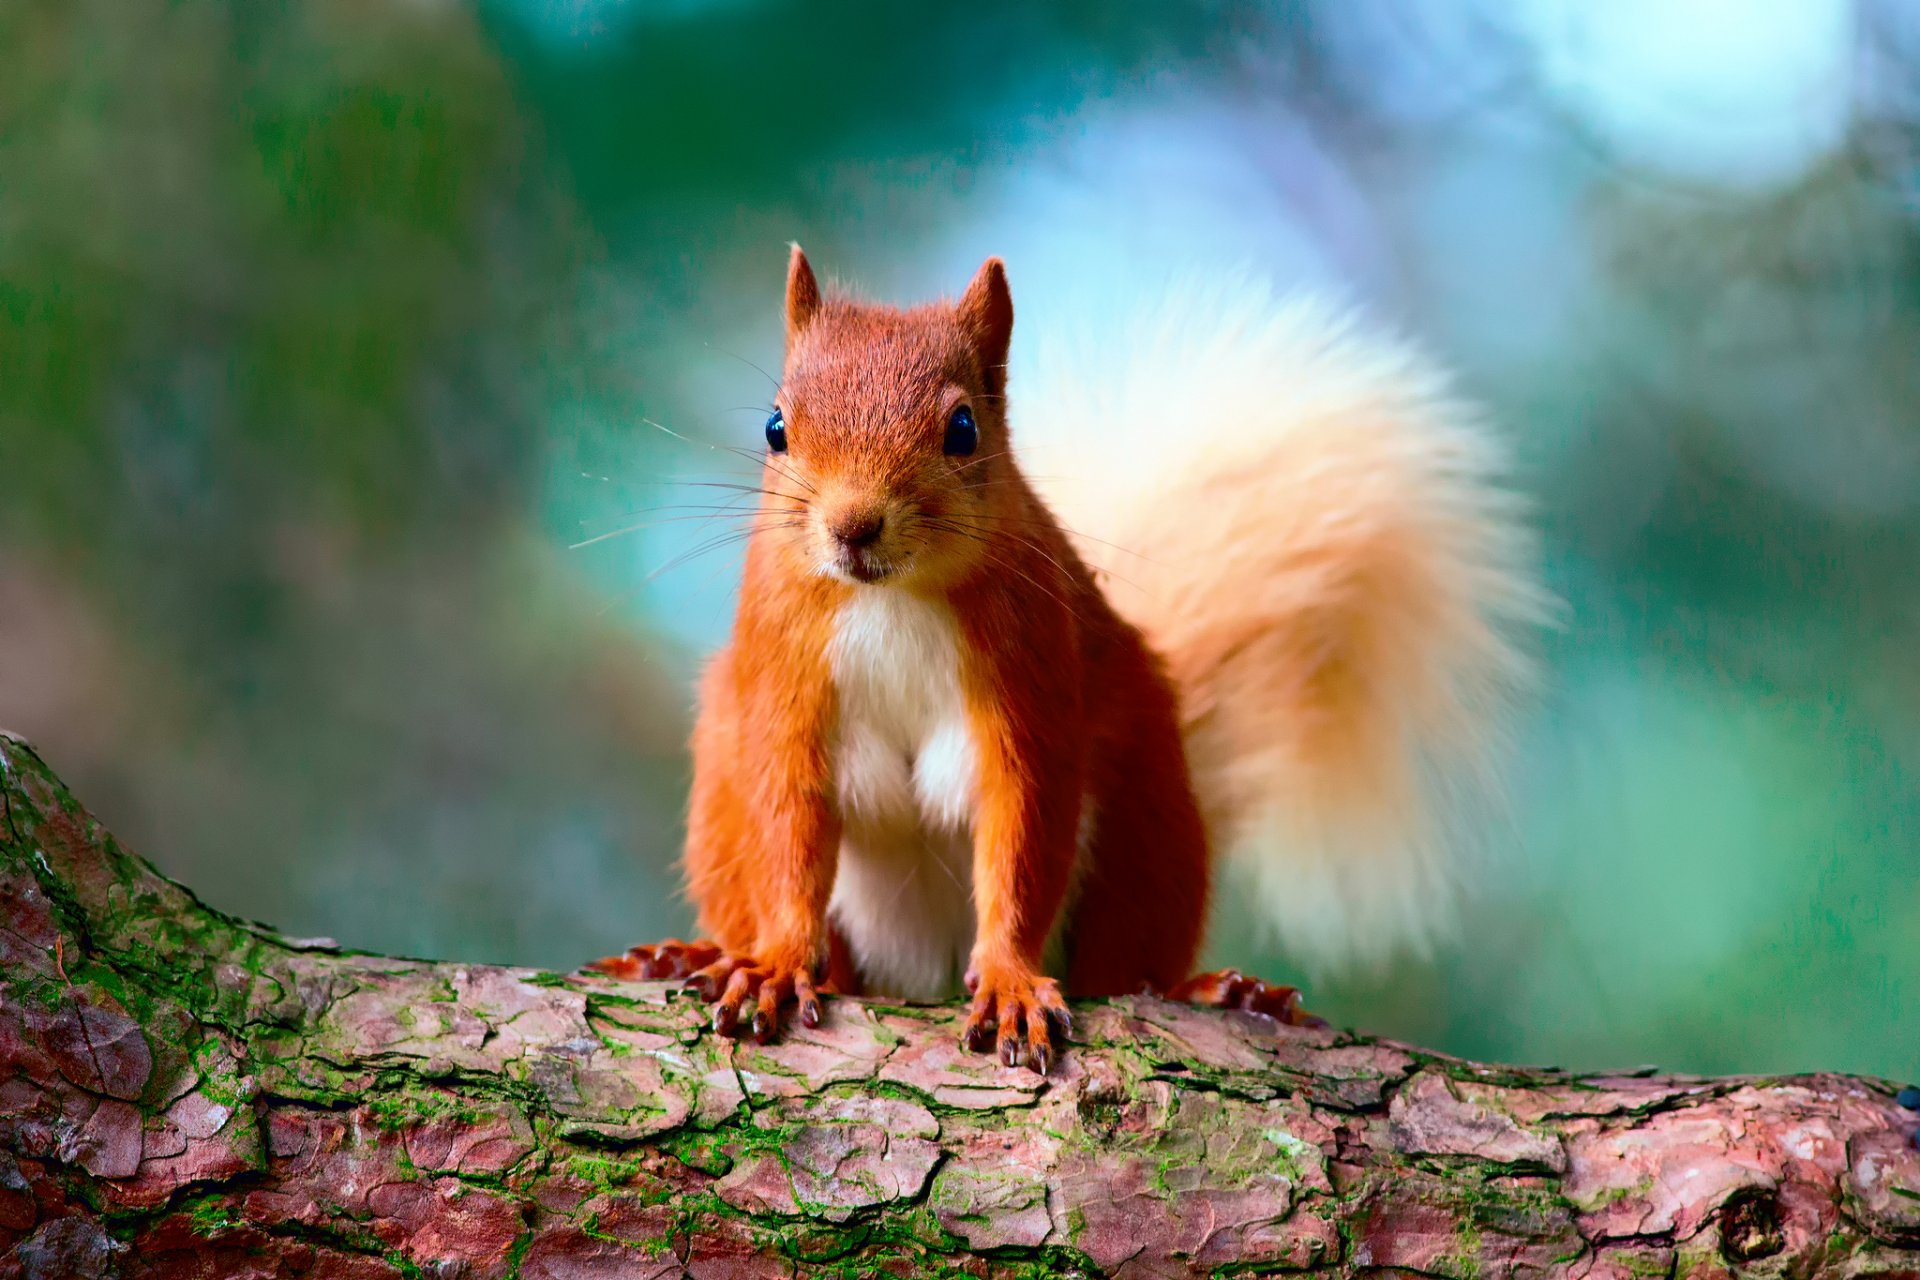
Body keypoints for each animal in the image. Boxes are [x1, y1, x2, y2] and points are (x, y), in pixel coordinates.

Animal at [591, 247, 1551, 1074]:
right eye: (775, 425)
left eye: (964, 428)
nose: (852, 526)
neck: (889, 597)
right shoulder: (784, 679)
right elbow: (789, 826)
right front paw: (780, 963)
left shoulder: (1032, 681)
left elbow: (1022, 833)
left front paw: (1011, 980)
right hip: (721, 775)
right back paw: (691, 953)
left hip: (1147, 816)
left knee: (1123, 964)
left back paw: (1220, 991)